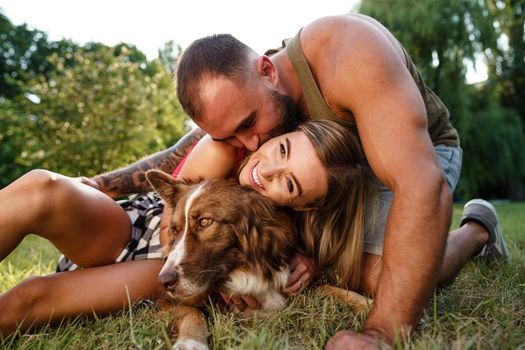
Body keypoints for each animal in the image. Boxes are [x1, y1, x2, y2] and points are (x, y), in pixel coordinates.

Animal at [145, 168, 370, 348]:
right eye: (175, 230)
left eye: (204, 222)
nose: (163, 281)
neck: (245, 269)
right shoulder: (164, 301)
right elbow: (193, 313)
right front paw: (190, 343)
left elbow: (334, 289)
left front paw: (366, 303)